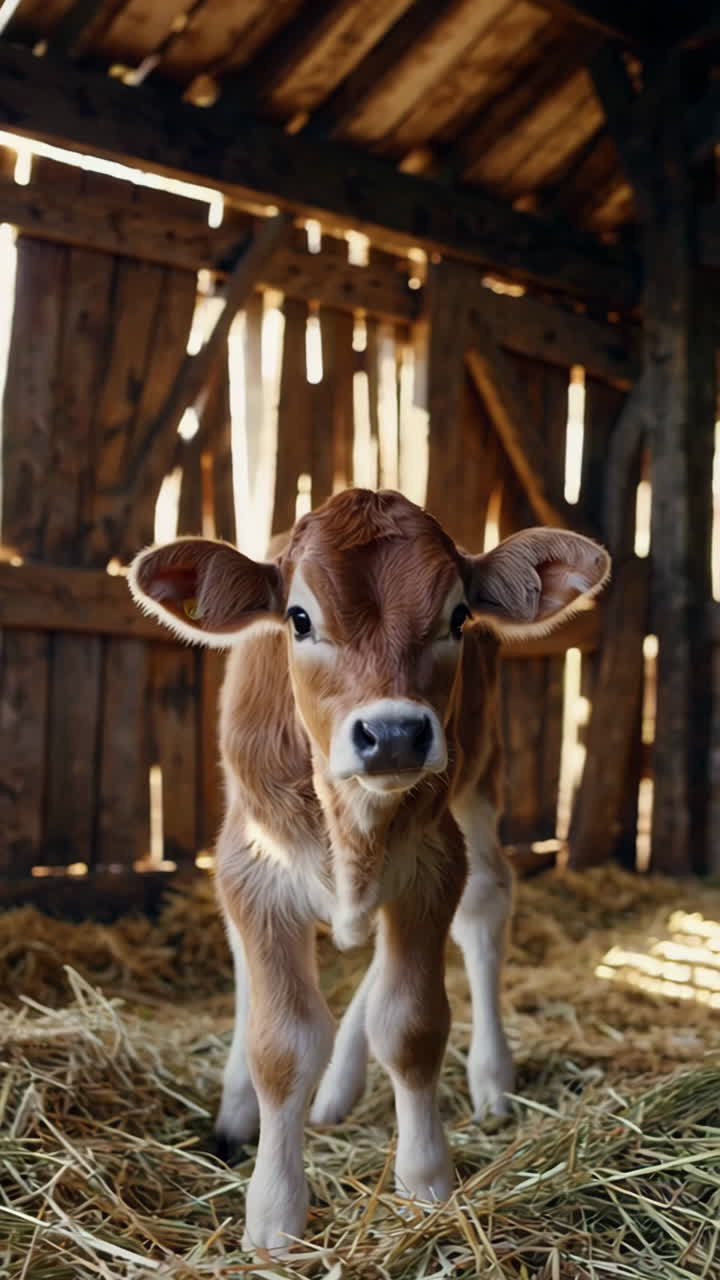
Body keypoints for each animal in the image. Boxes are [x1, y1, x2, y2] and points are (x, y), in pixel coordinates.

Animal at [129, 487, 609, 1253]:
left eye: (457, 616)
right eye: (299, 618)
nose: (393, 734)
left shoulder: (432, 864)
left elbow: (411, 1024)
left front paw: (426, 1185)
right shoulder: (254, 866)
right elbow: (282, 1042)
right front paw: (274, 1216)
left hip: (481, 778)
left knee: (483, 906)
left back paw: (487, 1078)